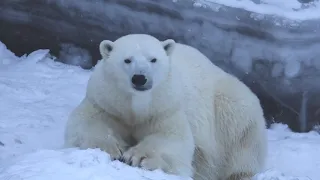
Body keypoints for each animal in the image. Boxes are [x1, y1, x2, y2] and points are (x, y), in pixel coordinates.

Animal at [63, 33, 268, 180]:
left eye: (153, 59)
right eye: (127, 60)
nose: (140, 78)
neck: (136, 106)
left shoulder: (165, 107)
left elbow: (172, 138)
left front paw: (138, 156)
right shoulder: (107, 102)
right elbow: (86, 121)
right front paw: (109, 147)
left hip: (228, 108)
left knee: (241, 137)